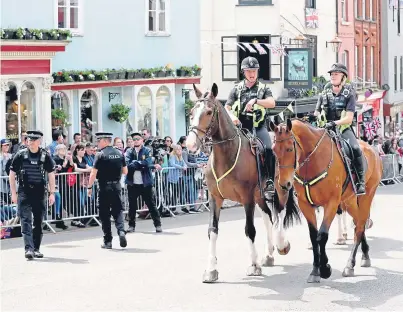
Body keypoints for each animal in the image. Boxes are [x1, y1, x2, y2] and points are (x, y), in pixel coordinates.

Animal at [186, 83, 300, 282]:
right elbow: (212, 230)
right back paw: (269, 254)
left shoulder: (247, 198)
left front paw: (254, 265)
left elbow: (250, 230)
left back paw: (281, 244)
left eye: (208, 112)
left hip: (281, 187)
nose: (190, 144)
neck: (227, 156)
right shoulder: (215, 198)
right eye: (192, 112)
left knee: (280, 213)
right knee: (269, 217)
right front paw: (211, 270)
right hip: (260, 195)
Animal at [272, 117, 382, 282]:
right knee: (359, 223)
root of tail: (373, 150)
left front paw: (325, 269)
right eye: (273, 149)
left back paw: (350, 264)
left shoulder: (331, 203)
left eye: (289, 149)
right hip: (349, 201)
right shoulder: (305, 205)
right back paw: (365, 255)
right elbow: (313, 236)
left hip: (366, 196)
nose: (284, 184)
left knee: (360, 225)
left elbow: (322, 235)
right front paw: (315, 270)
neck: (313, 160)